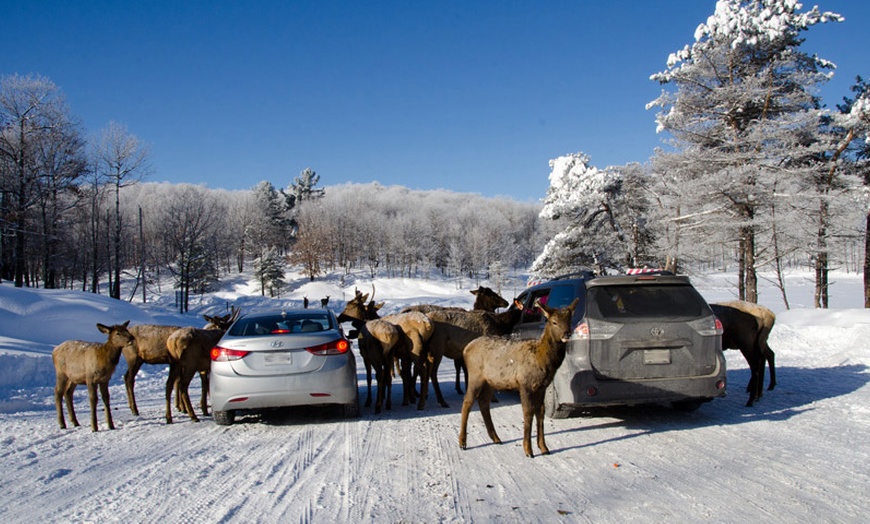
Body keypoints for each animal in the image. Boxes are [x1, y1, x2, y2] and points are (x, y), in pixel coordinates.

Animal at [456, 298, 580, 458]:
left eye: (569, 320)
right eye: (554, 322)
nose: (567, 333)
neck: (542, 360)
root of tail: (466, 349)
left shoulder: (542, 387)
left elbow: (540, 413)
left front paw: (544, 448)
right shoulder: (525, 383)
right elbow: (528, 413)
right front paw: (528, 450)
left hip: (490, 381)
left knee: (483, 402)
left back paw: (496, 438)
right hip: (475, 375)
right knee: (467, 402)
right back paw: (462, 442)